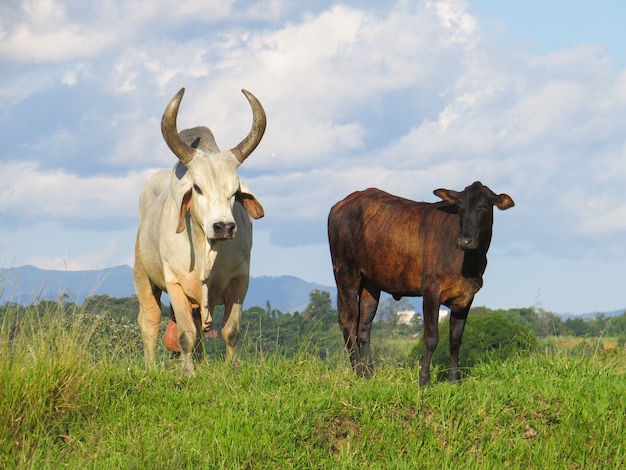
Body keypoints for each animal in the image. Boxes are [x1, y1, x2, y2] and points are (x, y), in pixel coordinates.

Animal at [326, 181, 512, 386]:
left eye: (483, 207)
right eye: (460, 208)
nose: (465, 240)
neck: (468, 262)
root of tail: (344, 203)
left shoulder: (467, 296)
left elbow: (455, 339)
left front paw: (454, 380)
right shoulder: (431, 291)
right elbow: (431, 338)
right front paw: (424, 380)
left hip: (370, 283)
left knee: (364, 326)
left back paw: (369, 374)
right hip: (346, 272)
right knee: (348, 321)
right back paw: (358, 373)